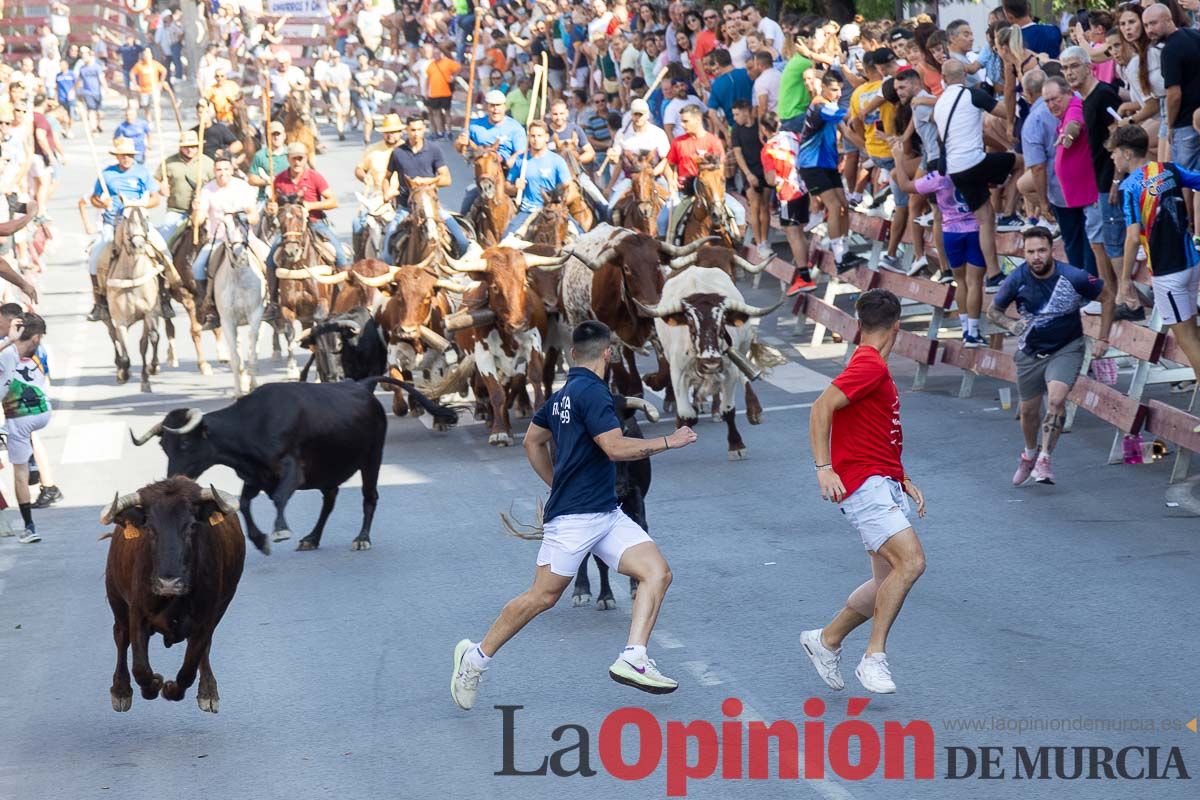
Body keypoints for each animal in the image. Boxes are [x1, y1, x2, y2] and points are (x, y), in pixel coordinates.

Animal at [102, 208, 162, 393]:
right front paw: (123, 372)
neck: (132, 276)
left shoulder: (149, 312)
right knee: (112, 335)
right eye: (125, 217)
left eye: (146, 216)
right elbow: (124, 350)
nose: (138, 245)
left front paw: (151, 371)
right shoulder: (120, 319)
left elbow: (150, 339)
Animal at [103, 479, 246, 714]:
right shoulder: (137, 613)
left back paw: (208, 692)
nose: (168, 583)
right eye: (149, 528)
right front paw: (154, 684)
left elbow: (188, 669)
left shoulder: (206, 618)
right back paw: (121, 691)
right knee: (120, 637)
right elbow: (140, 669)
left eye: (192, 527)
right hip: (116, 599)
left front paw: (171, 689)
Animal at [131, 379, 456, 554]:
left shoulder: (290, 470)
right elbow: (244, 504)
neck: (251, 426)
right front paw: (260, 540)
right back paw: (312, 538)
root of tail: (362, 384)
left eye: (185, 443)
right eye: (164, 447)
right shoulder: (254, 477)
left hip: (372, 458)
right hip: (330, 470)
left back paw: (362, 538)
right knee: (329, 501)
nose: (173, 477)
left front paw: (280, 531)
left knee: (370, 497)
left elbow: (278, 498)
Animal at [571, 393, 657, 606]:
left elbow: (638, 534)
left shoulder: (635, 495)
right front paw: (605, 596)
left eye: (624, 430)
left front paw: (636, 587)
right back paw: (581, 589)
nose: (618, 489)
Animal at [638, 267, 787, 455]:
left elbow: (728, 409)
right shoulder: (678, 372)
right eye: (690, 323)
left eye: (722, 322)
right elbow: (687, 413)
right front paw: (683, 424)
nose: (711, 364)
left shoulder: (729, 371)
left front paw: (736, 444)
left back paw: (753, 410)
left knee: (743, 375)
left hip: (743, 345)